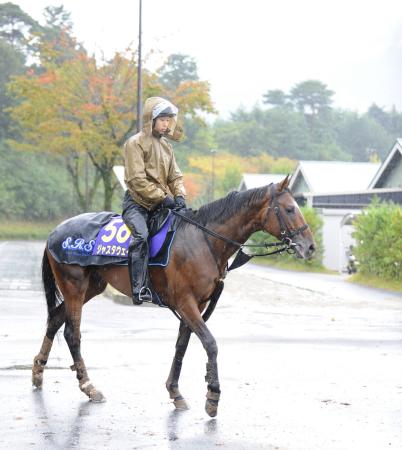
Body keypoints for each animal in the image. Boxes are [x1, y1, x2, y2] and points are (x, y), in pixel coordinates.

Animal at [32, 176, 314, 418]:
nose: (309, 246)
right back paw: (88, 386)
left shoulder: (197, 304)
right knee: (72, 333)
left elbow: (182, 346)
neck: (204, 240)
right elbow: (210, 343)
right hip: (75, 287)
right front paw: (212, 396)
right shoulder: (186, 303)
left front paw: (175, 392)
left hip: (92, 287)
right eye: (290, 209)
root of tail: (54, 233)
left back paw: (38, 371)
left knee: (55, 319)